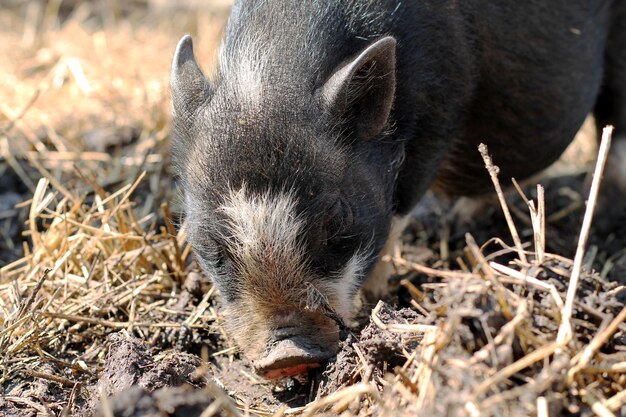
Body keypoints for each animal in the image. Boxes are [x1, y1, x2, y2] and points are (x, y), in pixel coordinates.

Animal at [168, 0, 620, 376]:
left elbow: (399, 209)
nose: (287, 355)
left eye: (337, 228)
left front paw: (376, 303)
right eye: (208, 243)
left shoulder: (443, 106)